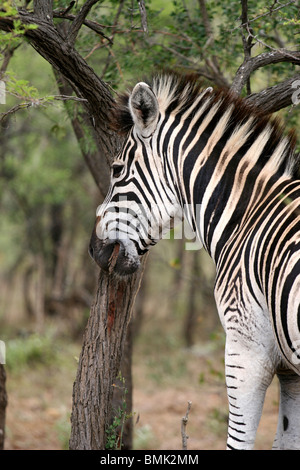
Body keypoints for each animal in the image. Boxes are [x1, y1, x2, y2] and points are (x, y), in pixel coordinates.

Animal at [89, 71, 300, 450]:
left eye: (116, 169)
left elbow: (239, 441)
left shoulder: (247, 350)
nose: (93, 250)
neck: (247, 216)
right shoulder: (291, 371)